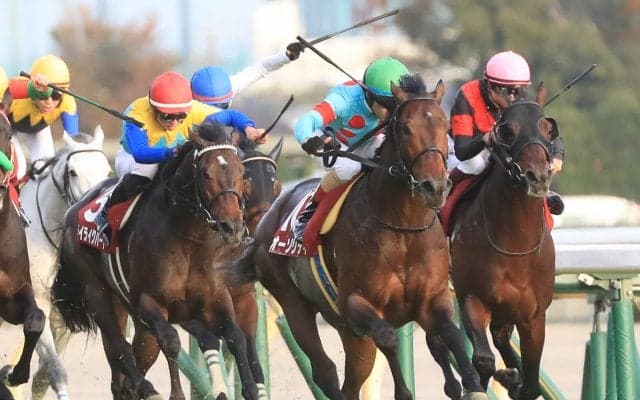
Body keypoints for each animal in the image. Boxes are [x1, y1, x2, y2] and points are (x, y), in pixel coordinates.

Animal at [52, 122, 260, 400]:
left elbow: (236, 337)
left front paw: (251, 390)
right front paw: (175, 393)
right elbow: (171, 341)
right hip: (97, 294)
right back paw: (146, 387)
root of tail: (73, 210)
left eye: (241, 171)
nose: (232, 227)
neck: (188, 240)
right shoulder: (149, 302)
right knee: (120, 348)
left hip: (128, 313)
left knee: (126, 366)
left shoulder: (215, 299)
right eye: (205, 174)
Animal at [231, 77, 486, 400]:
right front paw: (406, 391)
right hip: (294, 305)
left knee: (353, 378)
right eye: (406, 127)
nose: (435, 186)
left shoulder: (433, 297)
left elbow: (450, 335)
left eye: (445, 124)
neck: (403, 230)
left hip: (343, 326)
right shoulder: (357, 304)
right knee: (325, 370)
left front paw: (471, 385)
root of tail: (268, 218)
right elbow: (388, 339)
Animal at [449, 88, 556, 400]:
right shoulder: (472, 296)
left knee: (501, 335)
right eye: (508, 130)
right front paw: (488, 382)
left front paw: (516, 379)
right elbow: (483, 359)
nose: (537, 177)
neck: (515, 245)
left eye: (548, 128)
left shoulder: (534, 314)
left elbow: (531, 381)